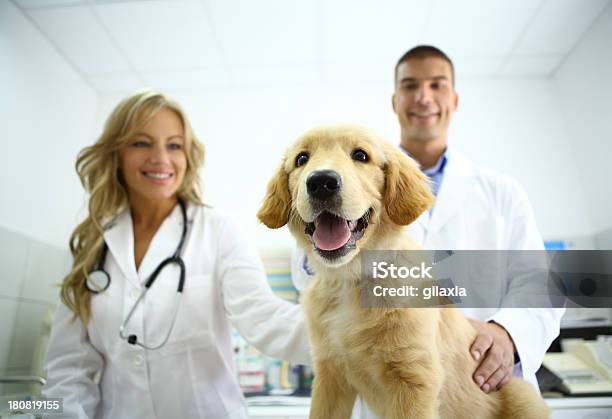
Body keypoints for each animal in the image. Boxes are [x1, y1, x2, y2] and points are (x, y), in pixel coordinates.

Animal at [258, 125, 548, 419]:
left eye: (360, 155)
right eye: (302, 159)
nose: (321, 182)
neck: (351, 281)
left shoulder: (415, 379)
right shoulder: (330, 376)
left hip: (523, 397)